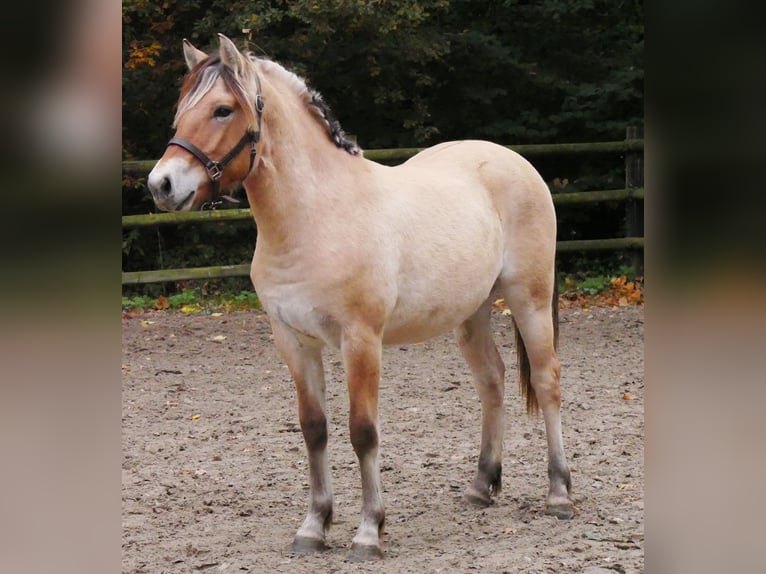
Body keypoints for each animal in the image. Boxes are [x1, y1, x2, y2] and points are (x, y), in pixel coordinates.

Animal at [146, 34, 573, 561]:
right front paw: (313, 527)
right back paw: (481, 486)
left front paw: (369, 532)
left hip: (529, 300)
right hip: (471, 313)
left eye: (222, 109)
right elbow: (314, 429)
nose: (161, 185)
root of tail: (516, 162)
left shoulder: (361, 340)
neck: (316, 216)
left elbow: (363, 432)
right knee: (491, 382)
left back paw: (559, 494)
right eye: (180, 112)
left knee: (547, 381)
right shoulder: (293, 341)